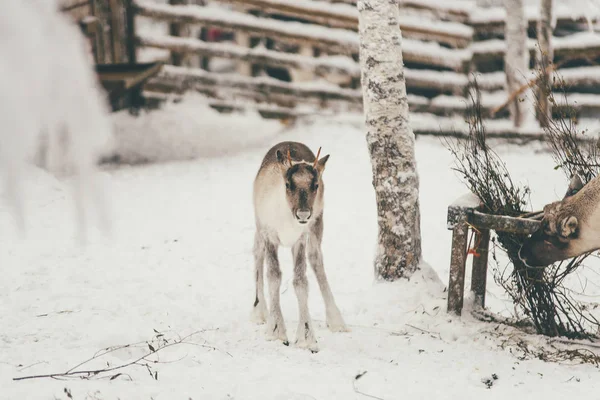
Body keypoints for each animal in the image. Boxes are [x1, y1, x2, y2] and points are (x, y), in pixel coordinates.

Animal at [252, 141, 346, 354]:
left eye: (315, 185)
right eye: (288, 184)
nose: (303, 214)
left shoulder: (300, 239)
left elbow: (301, 281)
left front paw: (306, 337)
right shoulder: (269, 234)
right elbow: (273, 276)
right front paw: (276, 330)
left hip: (317, 226)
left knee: (316, 260)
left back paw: (336, 319)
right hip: (259, 228)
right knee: (257, 254)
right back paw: (259, 311)